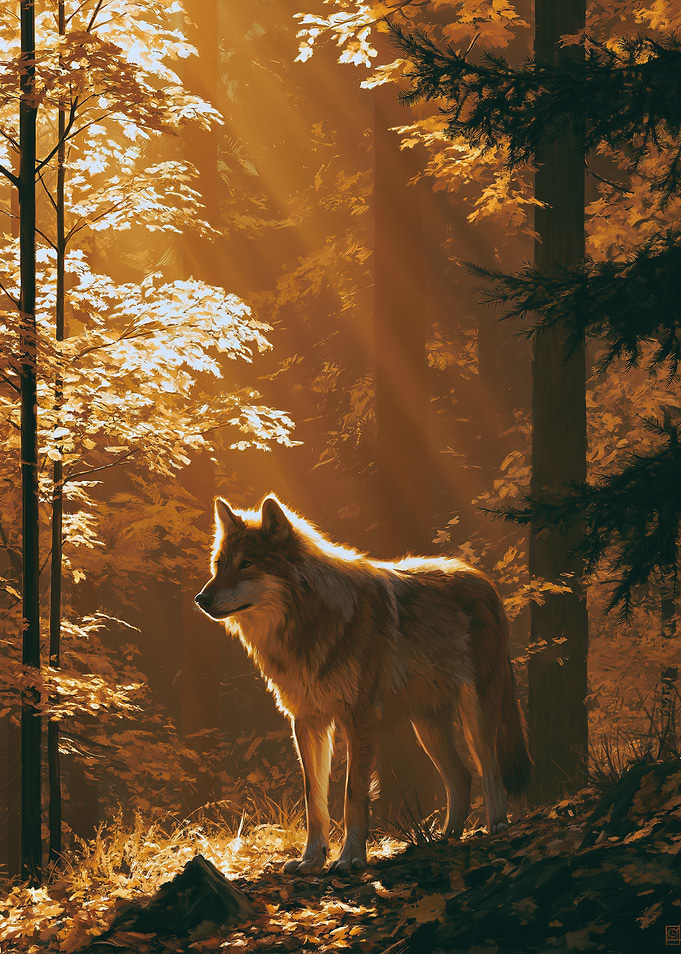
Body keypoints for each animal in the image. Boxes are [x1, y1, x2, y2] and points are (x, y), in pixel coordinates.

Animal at [195, 494, 531, 874]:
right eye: (219, 564)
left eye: (247, 563)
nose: (201, 599)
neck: (306, 625)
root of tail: (482, 578)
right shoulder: (307, 722)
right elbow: (314, 800)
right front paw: (311, 860)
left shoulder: (360, 717)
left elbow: (353, 794)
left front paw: (350, 857)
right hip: (426, 727)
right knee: (461, 777)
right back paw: (446, 837)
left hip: (477, 712)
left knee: (490, 768)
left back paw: (497, 826)